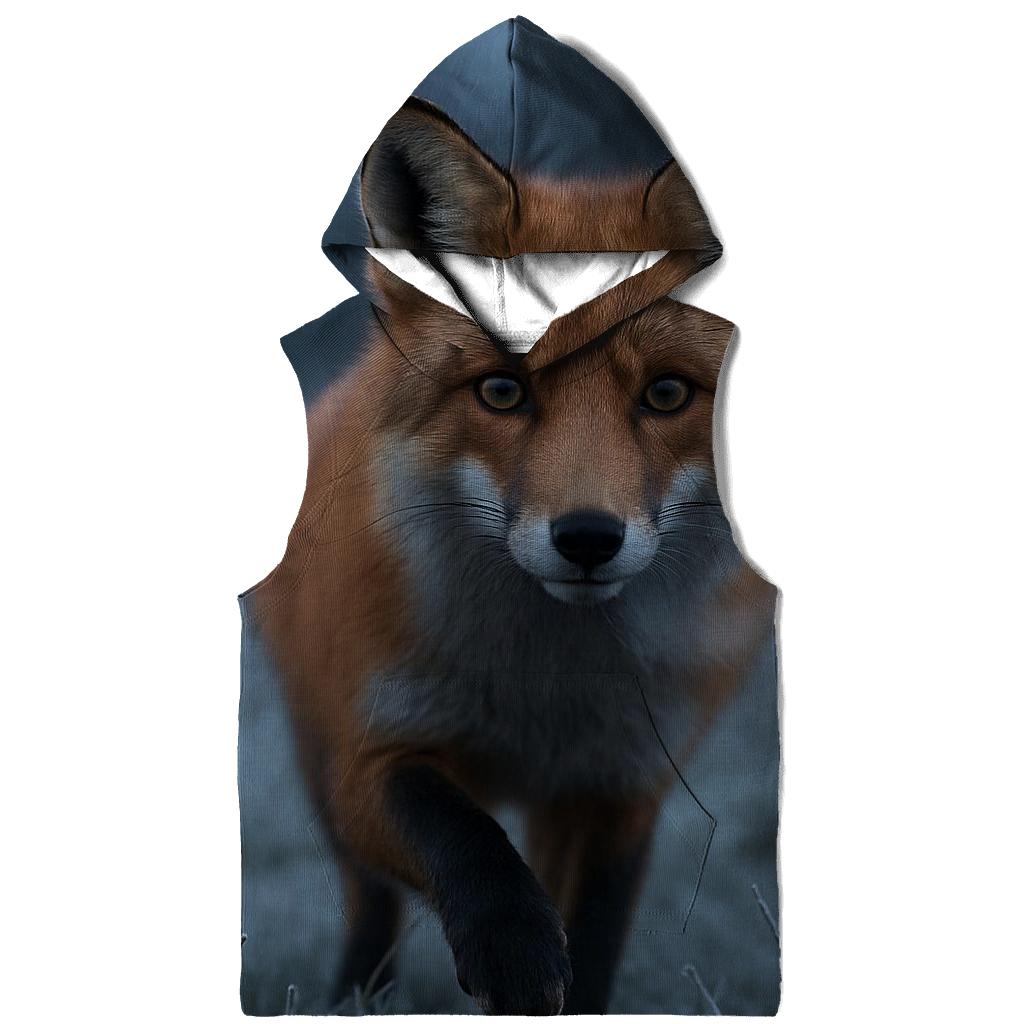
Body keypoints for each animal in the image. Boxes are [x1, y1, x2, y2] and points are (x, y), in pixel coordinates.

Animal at [251, 97, 776, 1015]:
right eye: (502, 391)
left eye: (667, 393)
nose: (588, 538)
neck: (546, 692)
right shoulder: (370, 748)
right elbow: (461, 834)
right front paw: (512, 950)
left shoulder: (618, 788)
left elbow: (594, 937)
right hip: (315, 744)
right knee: (370, 905)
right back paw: (355, 995)